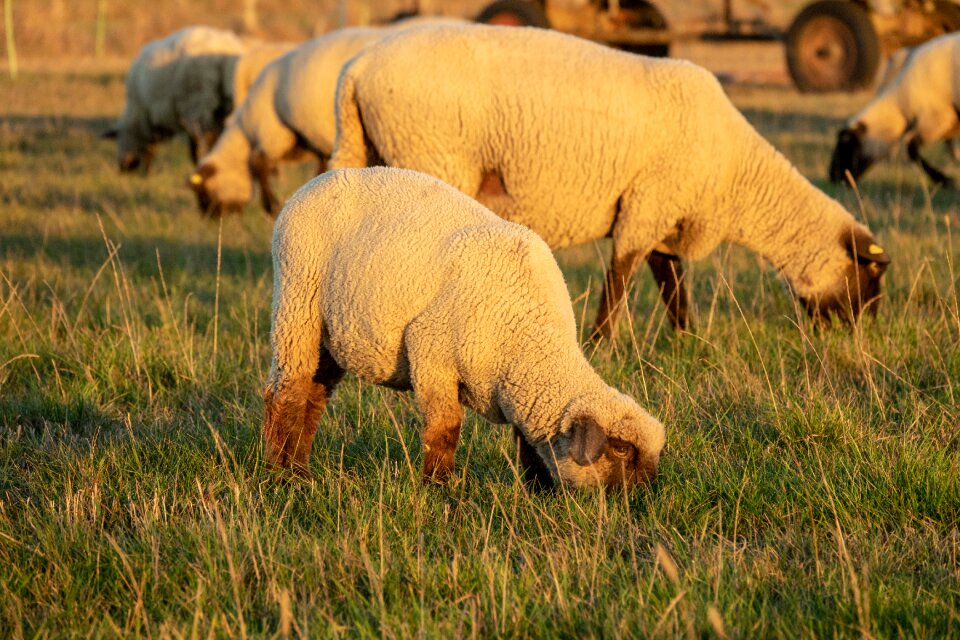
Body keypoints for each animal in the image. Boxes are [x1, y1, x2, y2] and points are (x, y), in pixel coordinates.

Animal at [101, 26, 249, 174]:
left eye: (118, 138)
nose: (122, 168)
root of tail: (224, 53)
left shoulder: (151, 114)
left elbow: (152, 146)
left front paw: (146, 171)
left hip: (199, 102)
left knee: (209, 136)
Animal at [262, 168, 668, 488]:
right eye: (621, 450)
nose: (640, 499)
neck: (530, 339)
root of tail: (314, 183)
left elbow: (525, 442)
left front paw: (537, 490)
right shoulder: (431, 353)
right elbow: (445, 428)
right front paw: (440, 487)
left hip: (331, 334)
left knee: (313, 396)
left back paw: (300, 469)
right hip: (298, 304)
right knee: (286, 392)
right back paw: (282, 475)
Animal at [330, 23, 892, 336]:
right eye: (872, 279)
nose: (860, 336)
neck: (738, 178)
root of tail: (358, 67)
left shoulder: (664, 210)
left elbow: (671, 284)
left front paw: (688, 340)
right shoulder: (648, 204)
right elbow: (620, 277)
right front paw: (602, 342)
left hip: (366, 151)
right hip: (430, 152)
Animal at [828, 31, 960, 186]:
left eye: (846, 144)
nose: (833, 177)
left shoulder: (936, 117)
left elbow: (911, 150)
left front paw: (944, 180)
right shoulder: (947, 122)